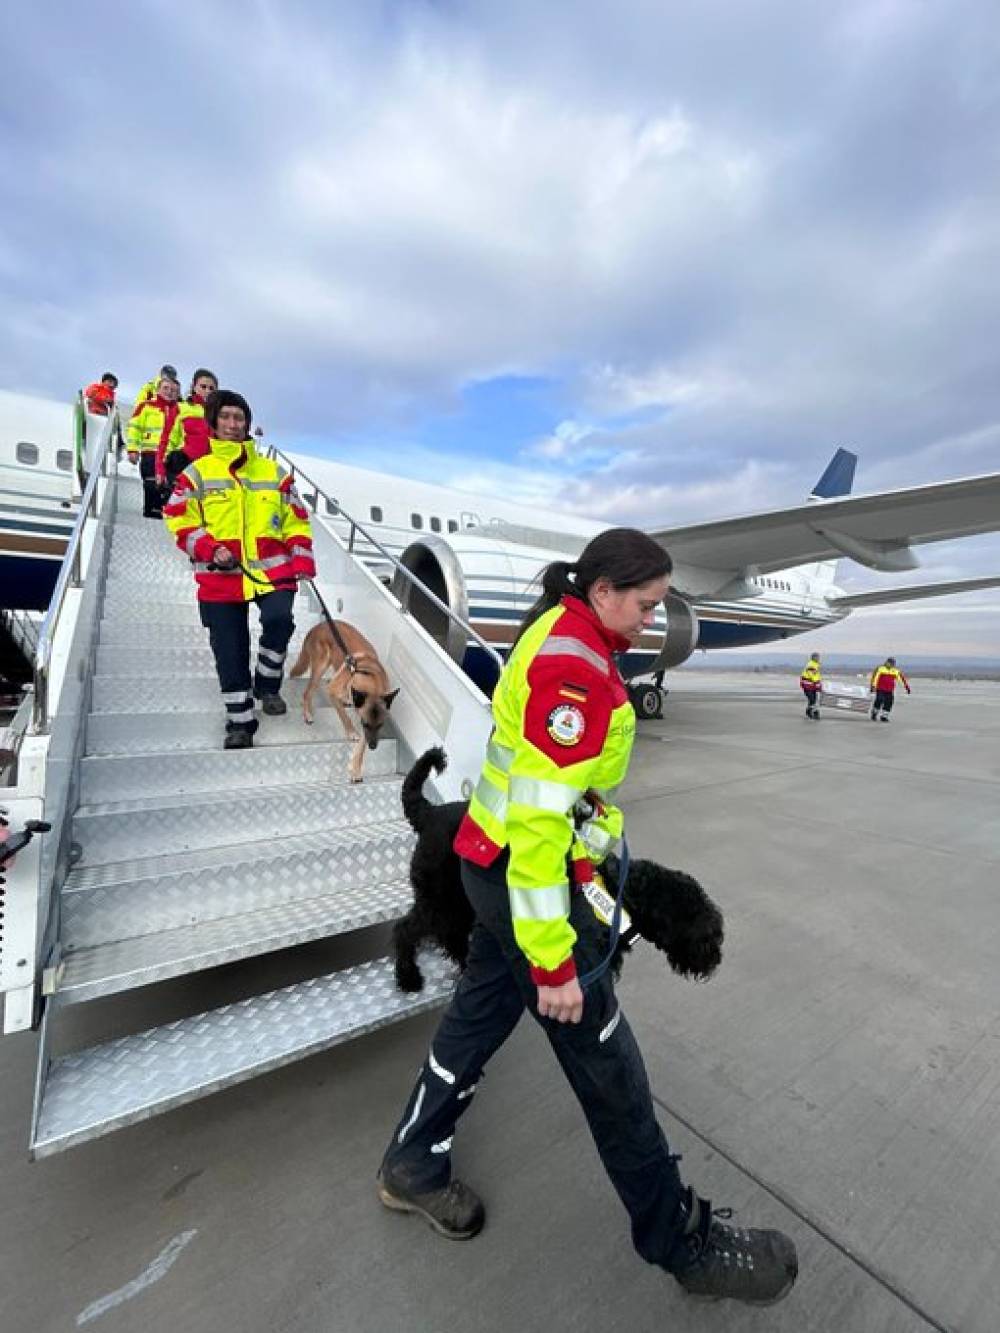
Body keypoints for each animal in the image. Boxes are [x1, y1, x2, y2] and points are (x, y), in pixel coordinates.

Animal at [289, 621, 400, 783]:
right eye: (366, 724)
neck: (370, 676)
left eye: (381, 725)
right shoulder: (332, 693)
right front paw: (351, 732)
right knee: (307, 692)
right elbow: (345, 717)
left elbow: (361, 748)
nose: (373, 747)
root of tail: (319, 625)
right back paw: (308, 713)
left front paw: (356, 769)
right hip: (320, 668)